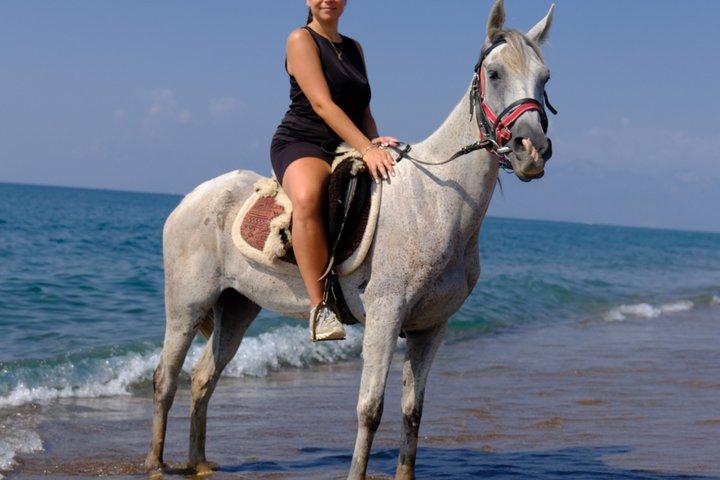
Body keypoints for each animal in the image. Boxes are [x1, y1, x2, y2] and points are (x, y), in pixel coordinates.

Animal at [144, 1, 556, 478]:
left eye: (545, 78)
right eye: (494, 73)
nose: (533, 150)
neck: (437, 200)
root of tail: (190, 199)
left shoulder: (431, 328)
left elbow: (413, 412)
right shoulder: (384, 317)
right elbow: (370, 409)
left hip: (238, 306)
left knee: (202, 378)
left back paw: (198, 463)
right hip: (187, 305)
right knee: (165, 378)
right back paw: (155, 464)